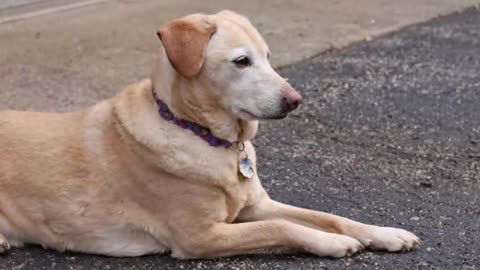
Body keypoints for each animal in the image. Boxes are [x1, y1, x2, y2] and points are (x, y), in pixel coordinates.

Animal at [0, 11, 420, 260]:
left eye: (268, 56)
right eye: (241, 61)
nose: (296, 100)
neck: (205, 136)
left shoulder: (256, 205)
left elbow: (329, 216)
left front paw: (383, 233)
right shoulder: (200, 236)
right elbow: (282, 226)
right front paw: (333, 244)